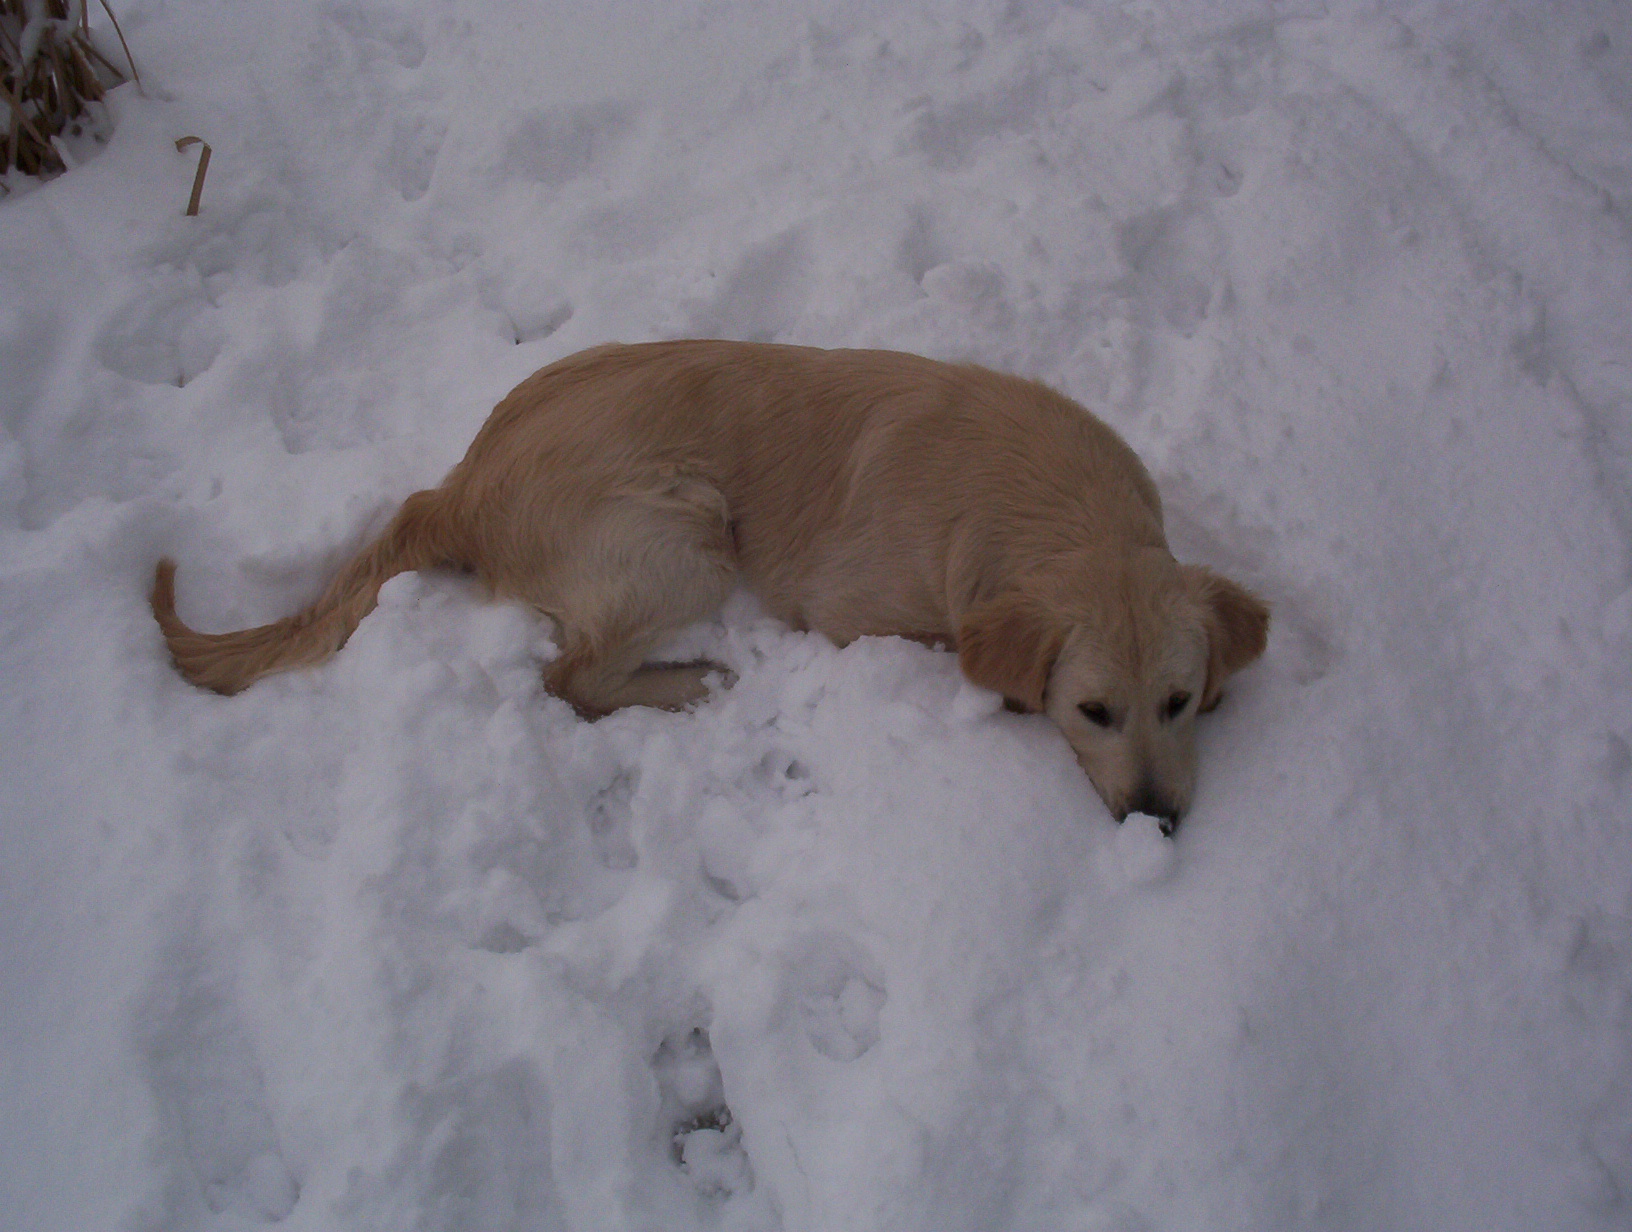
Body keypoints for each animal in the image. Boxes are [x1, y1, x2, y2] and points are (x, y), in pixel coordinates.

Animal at [151, 340, 1268, 831]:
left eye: (1178, 700)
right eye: (1094, 710)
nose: (1157, 818)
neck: (1057, 511)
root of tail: (458, 486)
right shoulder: (856, 611)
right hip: (687, 533)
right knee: (572, 679)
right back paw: (694, 682)